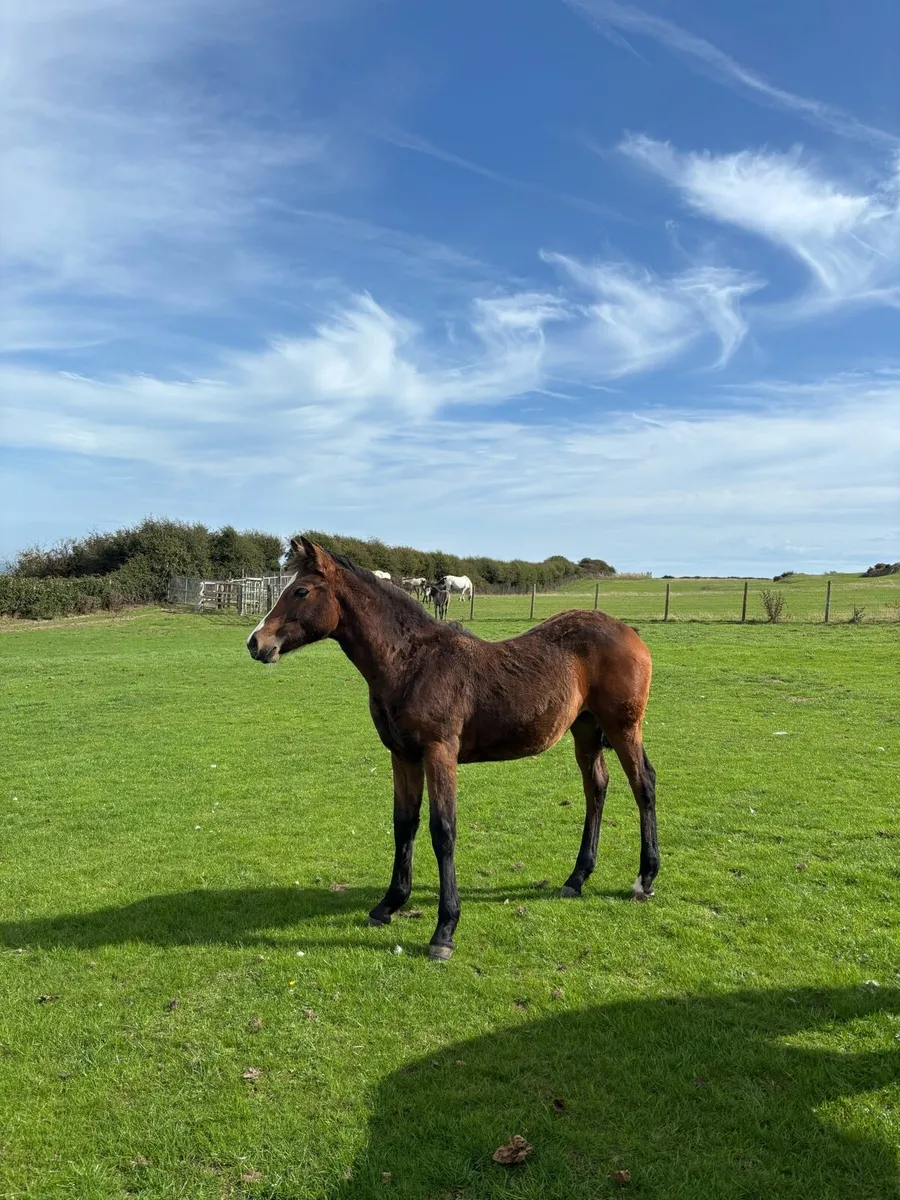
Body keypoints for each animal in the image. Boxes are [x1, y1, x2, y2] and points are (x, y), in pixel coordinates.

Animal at [247, 536, 658, 960]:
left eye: (301, 591)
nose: (255, 643)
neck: (412, 663)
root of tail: (629, 632)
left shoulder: (439, 753)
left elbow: (442, 830)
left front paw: (444, 931)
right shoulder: (403, 755)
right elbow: (404, 824)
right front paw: (388, 904)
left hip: (623, 726)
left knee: (643, 784)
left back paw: (644, 879)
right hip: (586, 730)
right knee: (596, 788)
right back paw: (576, 878)